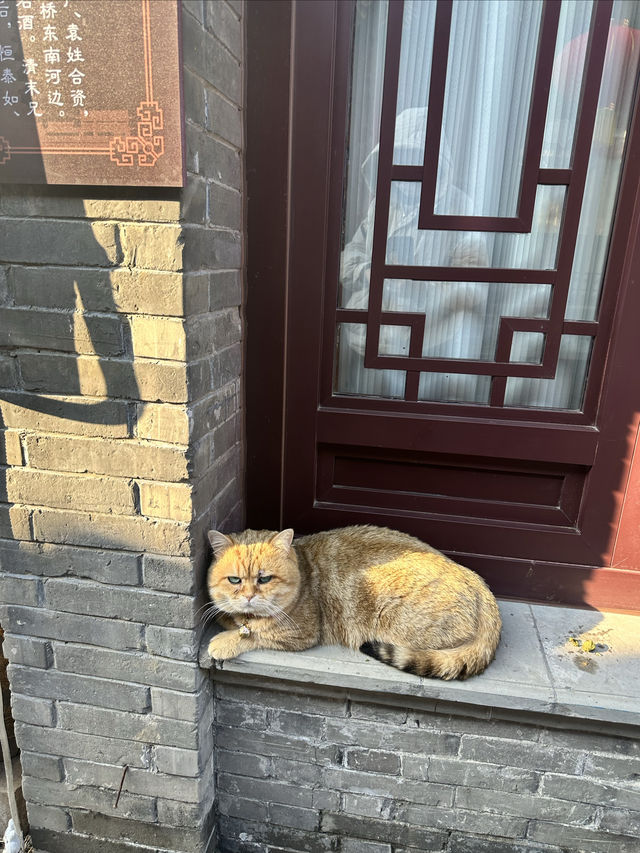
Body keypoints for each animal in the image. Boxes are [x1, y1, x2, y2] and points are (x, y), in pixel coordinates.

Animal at [205, 524, 500, 680]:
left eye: (264, 579)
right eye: (234, 580)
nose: (248, 596)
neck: (302, 569)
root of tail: (478, 583)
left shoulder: (301, 633)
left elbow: (256, 632)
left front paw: (225, 641)